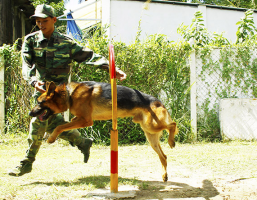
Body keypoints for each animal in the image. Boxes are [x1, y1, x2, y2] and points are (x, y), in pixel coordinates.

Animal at [29, 81, 178, 181]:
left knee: (173, 125)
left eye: (39, 102)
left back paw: (171, 141)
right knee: (164, 156)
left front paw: (51, 138)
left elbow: (59, 127)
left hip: (151, 125)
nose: (30, 114)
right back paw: (164, 175)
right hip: (150, 134)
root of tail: (158, 101)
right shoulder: (79, 119)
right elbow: (65, 124)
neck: (68, 94)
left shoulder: (86, 121)